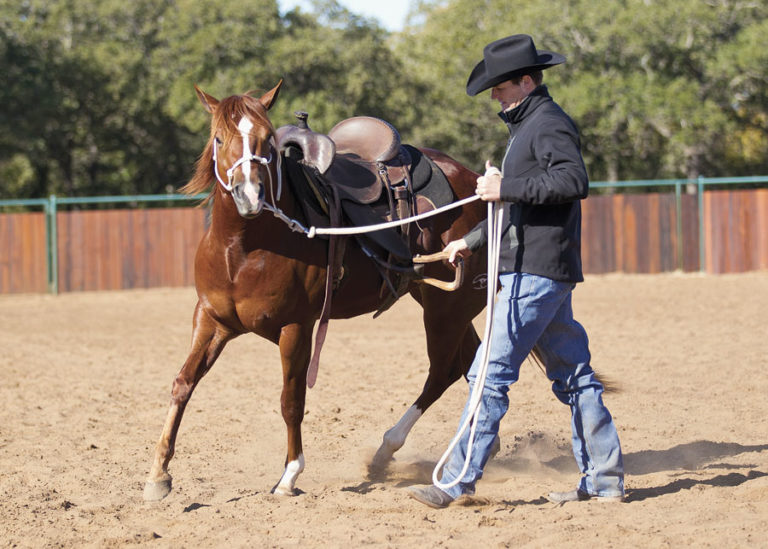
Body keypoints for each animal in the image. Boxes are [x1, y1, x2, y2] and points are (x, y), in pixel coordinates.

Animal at [143, 80, 490, 500]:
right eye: (218, 138)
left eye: (267, 140)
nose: (248, 194)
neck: (242, 249)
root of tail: (475, 183)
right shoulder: (211, 320)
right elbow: (183, 383)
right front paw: (159, 474)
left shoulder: (297, 327)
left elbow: (291, 400)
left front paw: (290, 474)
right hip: (443, 304)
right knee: (469, 365)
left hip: (447, 308)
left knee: (443, 371)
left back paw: (389, 449)